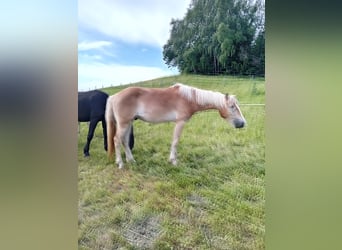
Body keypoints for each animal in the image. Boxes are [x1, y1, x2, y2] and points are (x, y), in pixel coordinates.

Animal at [105, 83, 246, 168]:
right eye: (232, 106)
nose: (243, 123)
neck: (189, 98)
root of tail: (114, 96)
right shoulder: (180, 122)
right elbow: (175, 141)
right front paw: (173, 161)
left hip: (129, 123)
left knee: (124, 141)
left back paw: (131, 160)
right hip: (123, 124)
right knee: (117, 140)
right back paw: (121, 164)